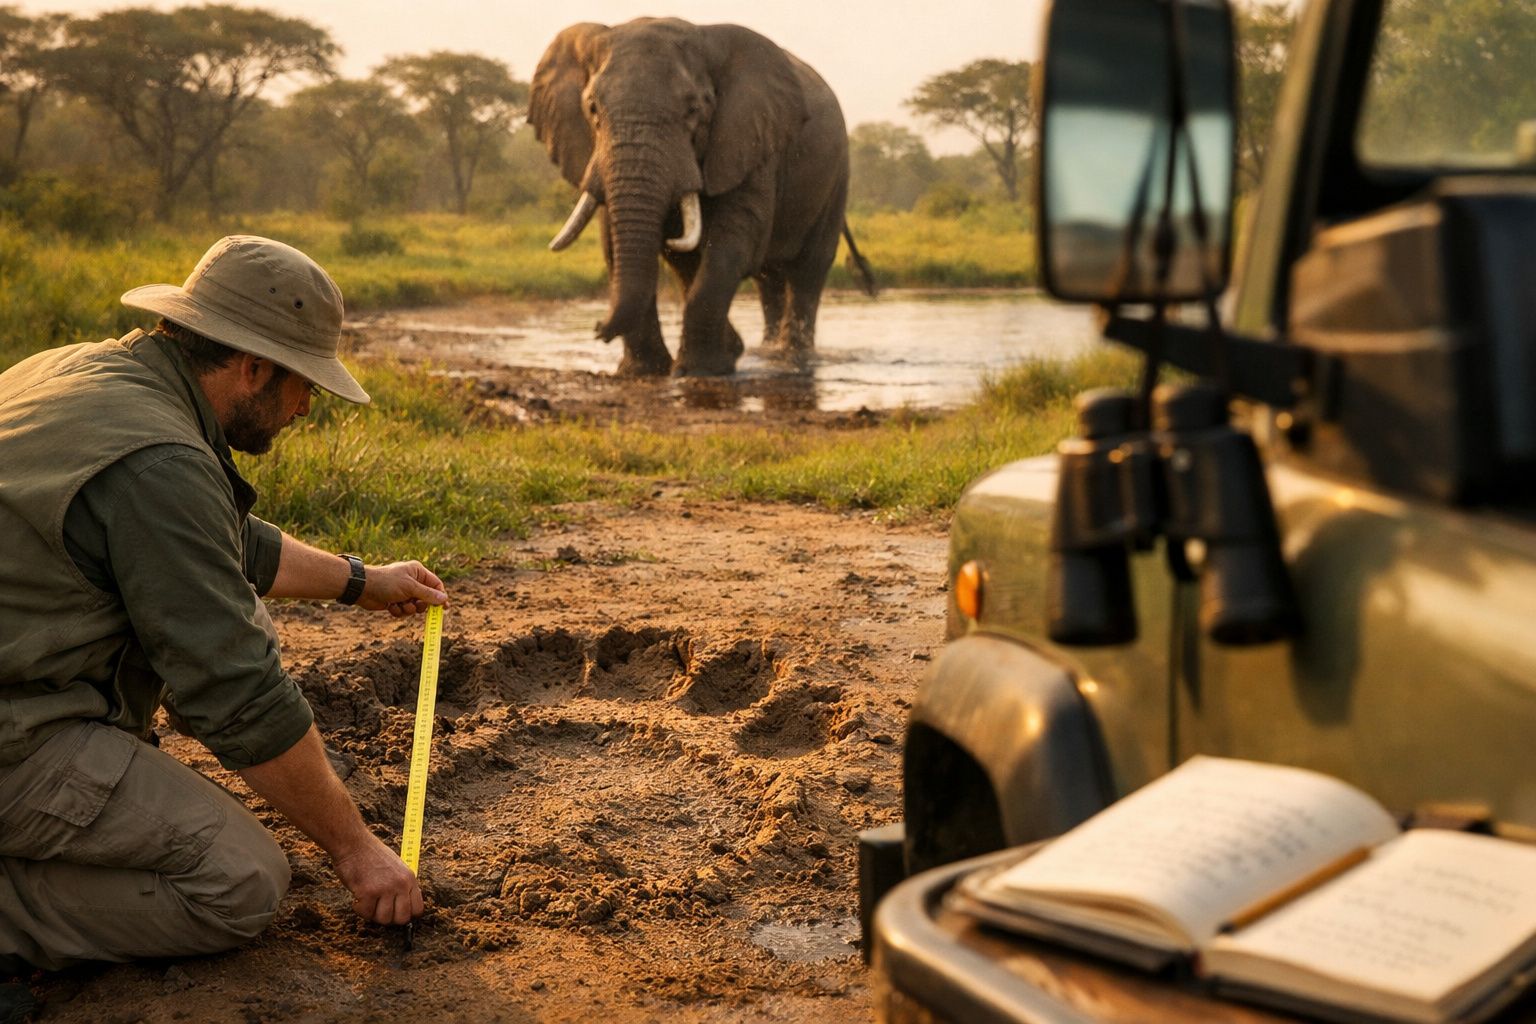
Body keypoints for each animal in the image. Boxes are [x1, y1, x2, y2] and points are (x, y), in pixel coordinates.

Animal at [530, 18, 875, 377]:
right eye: (592, 108)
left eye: (694, 110)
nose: (598, 328)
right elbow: (629, 243)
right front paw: (645, 372)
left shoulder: (753, 142)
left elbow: (733, 241)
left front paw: (700, 370)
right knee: (761, 278)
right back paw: (762, 351)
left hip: (837, 175)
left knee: (808, 271)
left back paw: (793, 357)